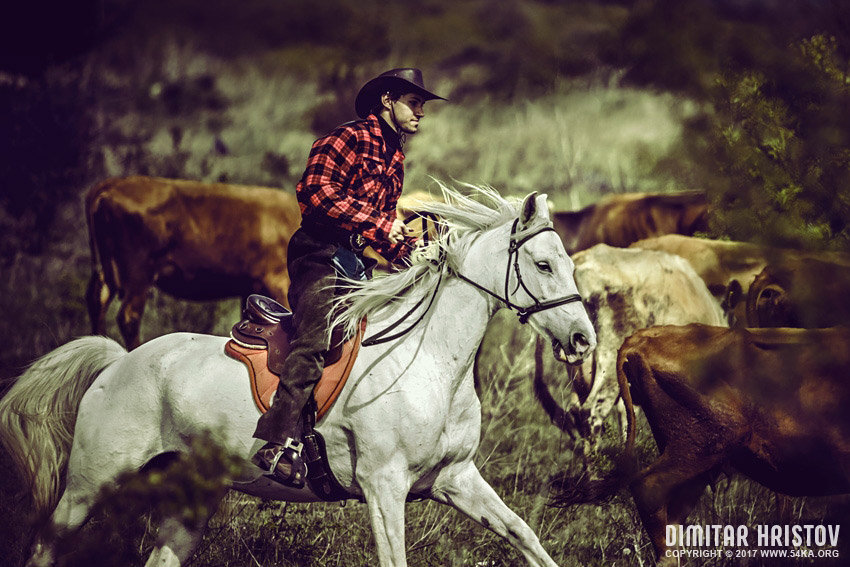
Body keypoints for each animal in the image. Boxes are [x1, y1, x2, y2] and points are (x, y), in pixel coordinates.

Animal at [1, 186, 596, 567]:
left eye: (568, 262)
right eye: (543, 264)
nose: (583, 340)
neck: (427, 362)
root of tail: (118, 362)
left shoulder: (456, 478)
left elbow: (526, 538)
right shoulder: (383, 487)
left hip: (189, 503)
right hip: (89, 485)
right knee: (45, 545)